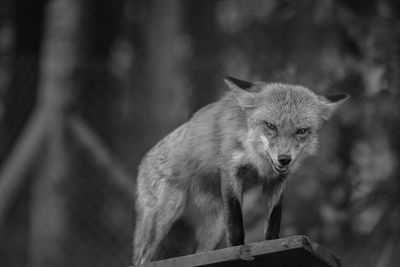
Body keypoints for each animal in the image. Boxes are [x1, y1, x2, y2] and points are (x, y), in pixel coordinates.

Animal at [133, 76, 348, 266]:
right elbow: (236, 224)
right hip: (162, 220)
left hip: (214, 230)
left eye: (301, 131)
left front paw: (271, 244)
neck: (258, 158)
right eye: (270, 126)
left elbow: (273, 223)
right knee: (141, 260)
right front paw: (237, 251)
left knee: (200, 256)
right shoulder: (231, 171)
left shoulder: (277, 181)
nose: (284, 159)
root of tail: (143, 161)